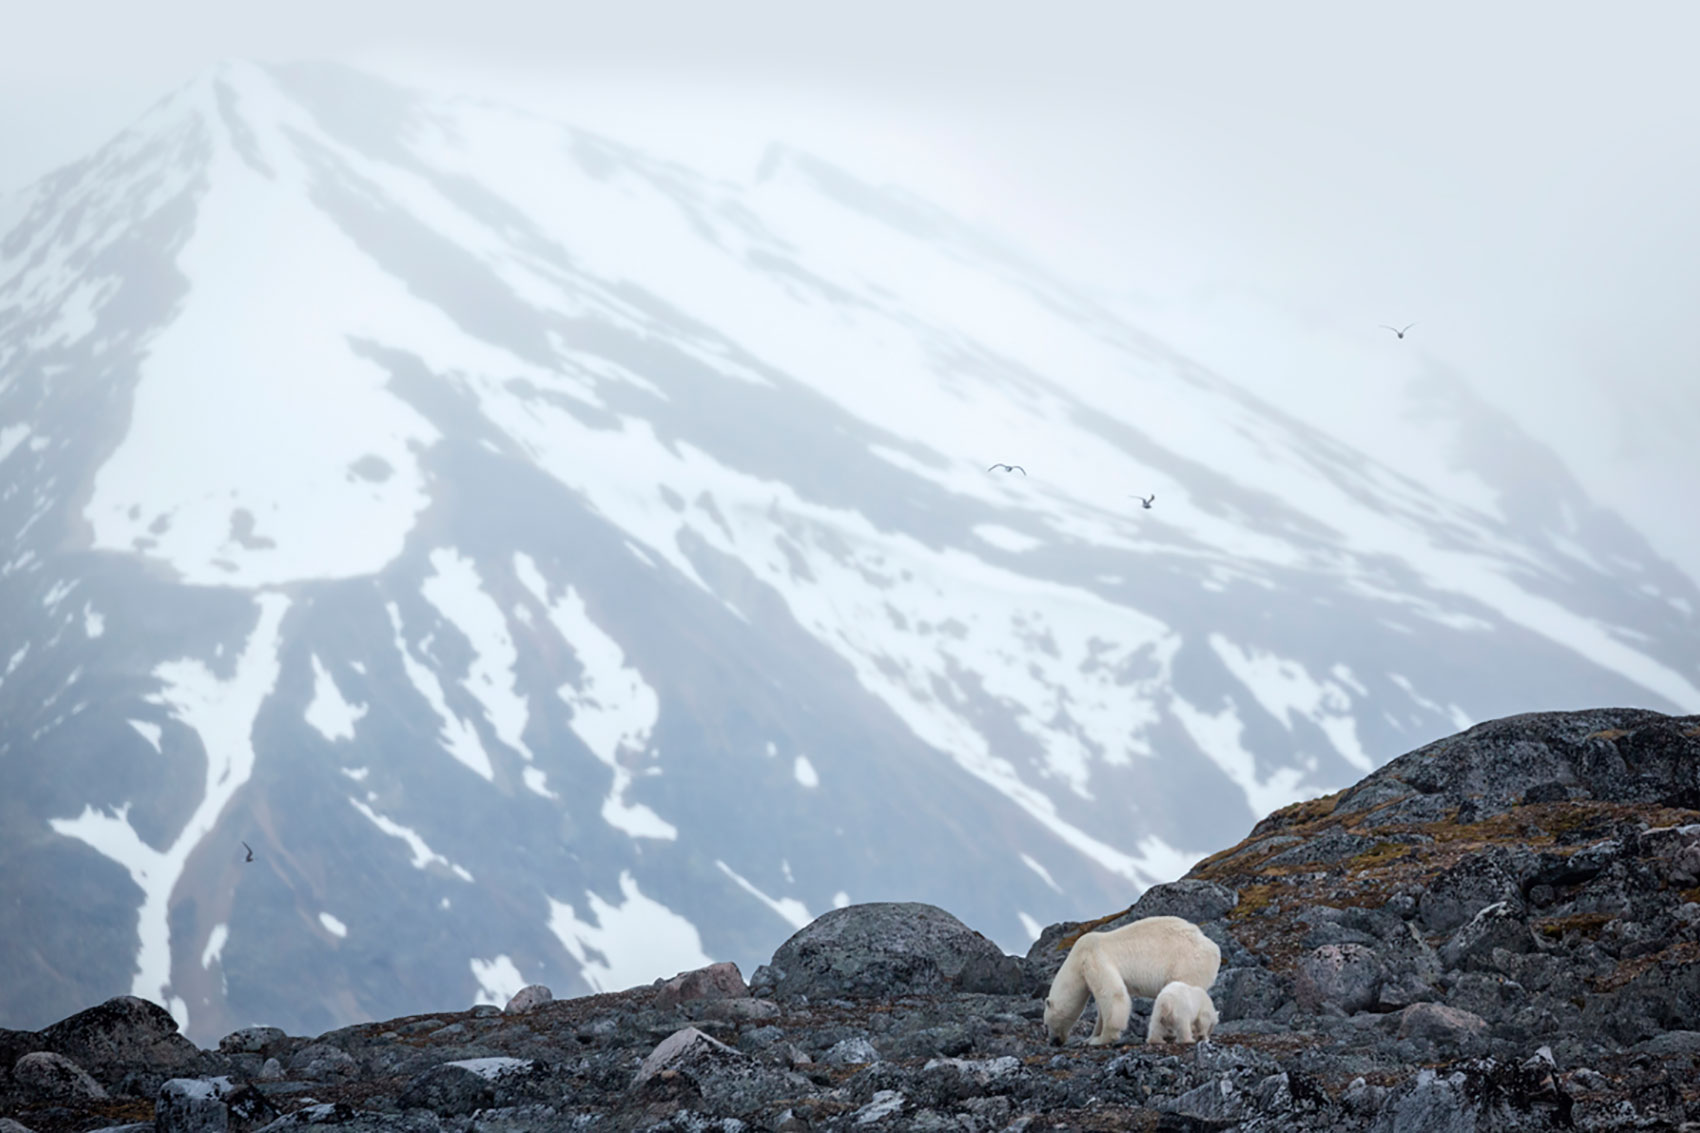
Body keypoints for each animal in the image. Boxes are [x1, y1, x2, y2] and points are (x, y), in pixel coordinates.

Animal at [1043, 915, 1221, 1046]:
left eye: (1046, 1024)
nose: (1053, 1042)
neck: (1077, 958)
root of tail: (1214, 949)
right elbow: (1101, 1005)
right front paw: (1090, 1037)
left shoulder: (1094, 958)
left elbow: (1113, 994)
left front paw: (1101, 1039)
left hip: (1186, 964)